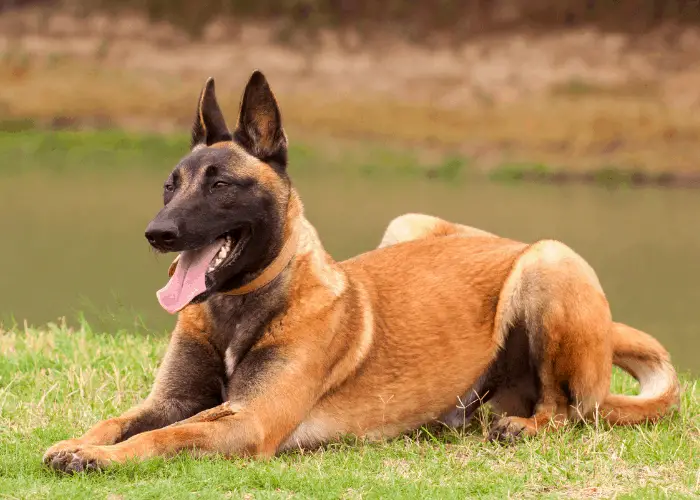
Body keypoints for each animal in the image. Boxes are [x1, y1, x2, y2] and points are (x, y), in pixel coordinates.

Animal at [41, 70, 680, 472]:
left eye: (220, 185)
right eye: (170, 186)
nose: (158, 233)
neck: (239, 307)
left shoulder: (248, 420)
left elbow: (167, 434)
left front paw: (101, 458)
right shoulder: (172, 400)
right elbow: (123, 419)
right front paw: (80, 442)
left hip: (548, 261)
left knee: (566, 411)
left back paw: (525, 426)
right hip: (408, 223)